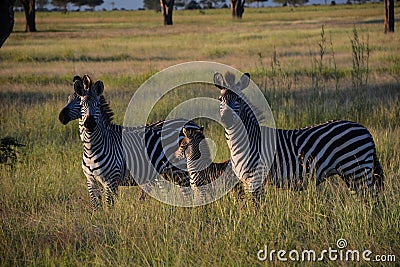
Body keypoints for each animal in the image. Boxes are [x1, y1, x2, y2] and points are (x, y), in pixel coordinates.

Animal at [58, 75, 199, 211]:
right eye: (79, 104)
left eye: (97, 105)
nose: (89, 124)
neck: (91, 147)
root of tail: (191, 123)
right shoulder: (91, 181)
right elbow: (96, 207)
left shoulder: (110, 181)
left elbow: (110, 208)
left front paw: (110, 219)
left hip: (181, 171)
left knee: (190, 195)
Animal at [212, 71, 384, 203]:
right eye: (220, 99)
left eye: (238, 99)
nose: (226, 119)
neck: (244, 142)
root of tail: (365, 129)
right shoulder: (247, 181)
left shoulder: (256, 178)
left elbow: (256, 208)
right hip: (351, 172)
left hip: (357, 169)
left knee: (372, 200)